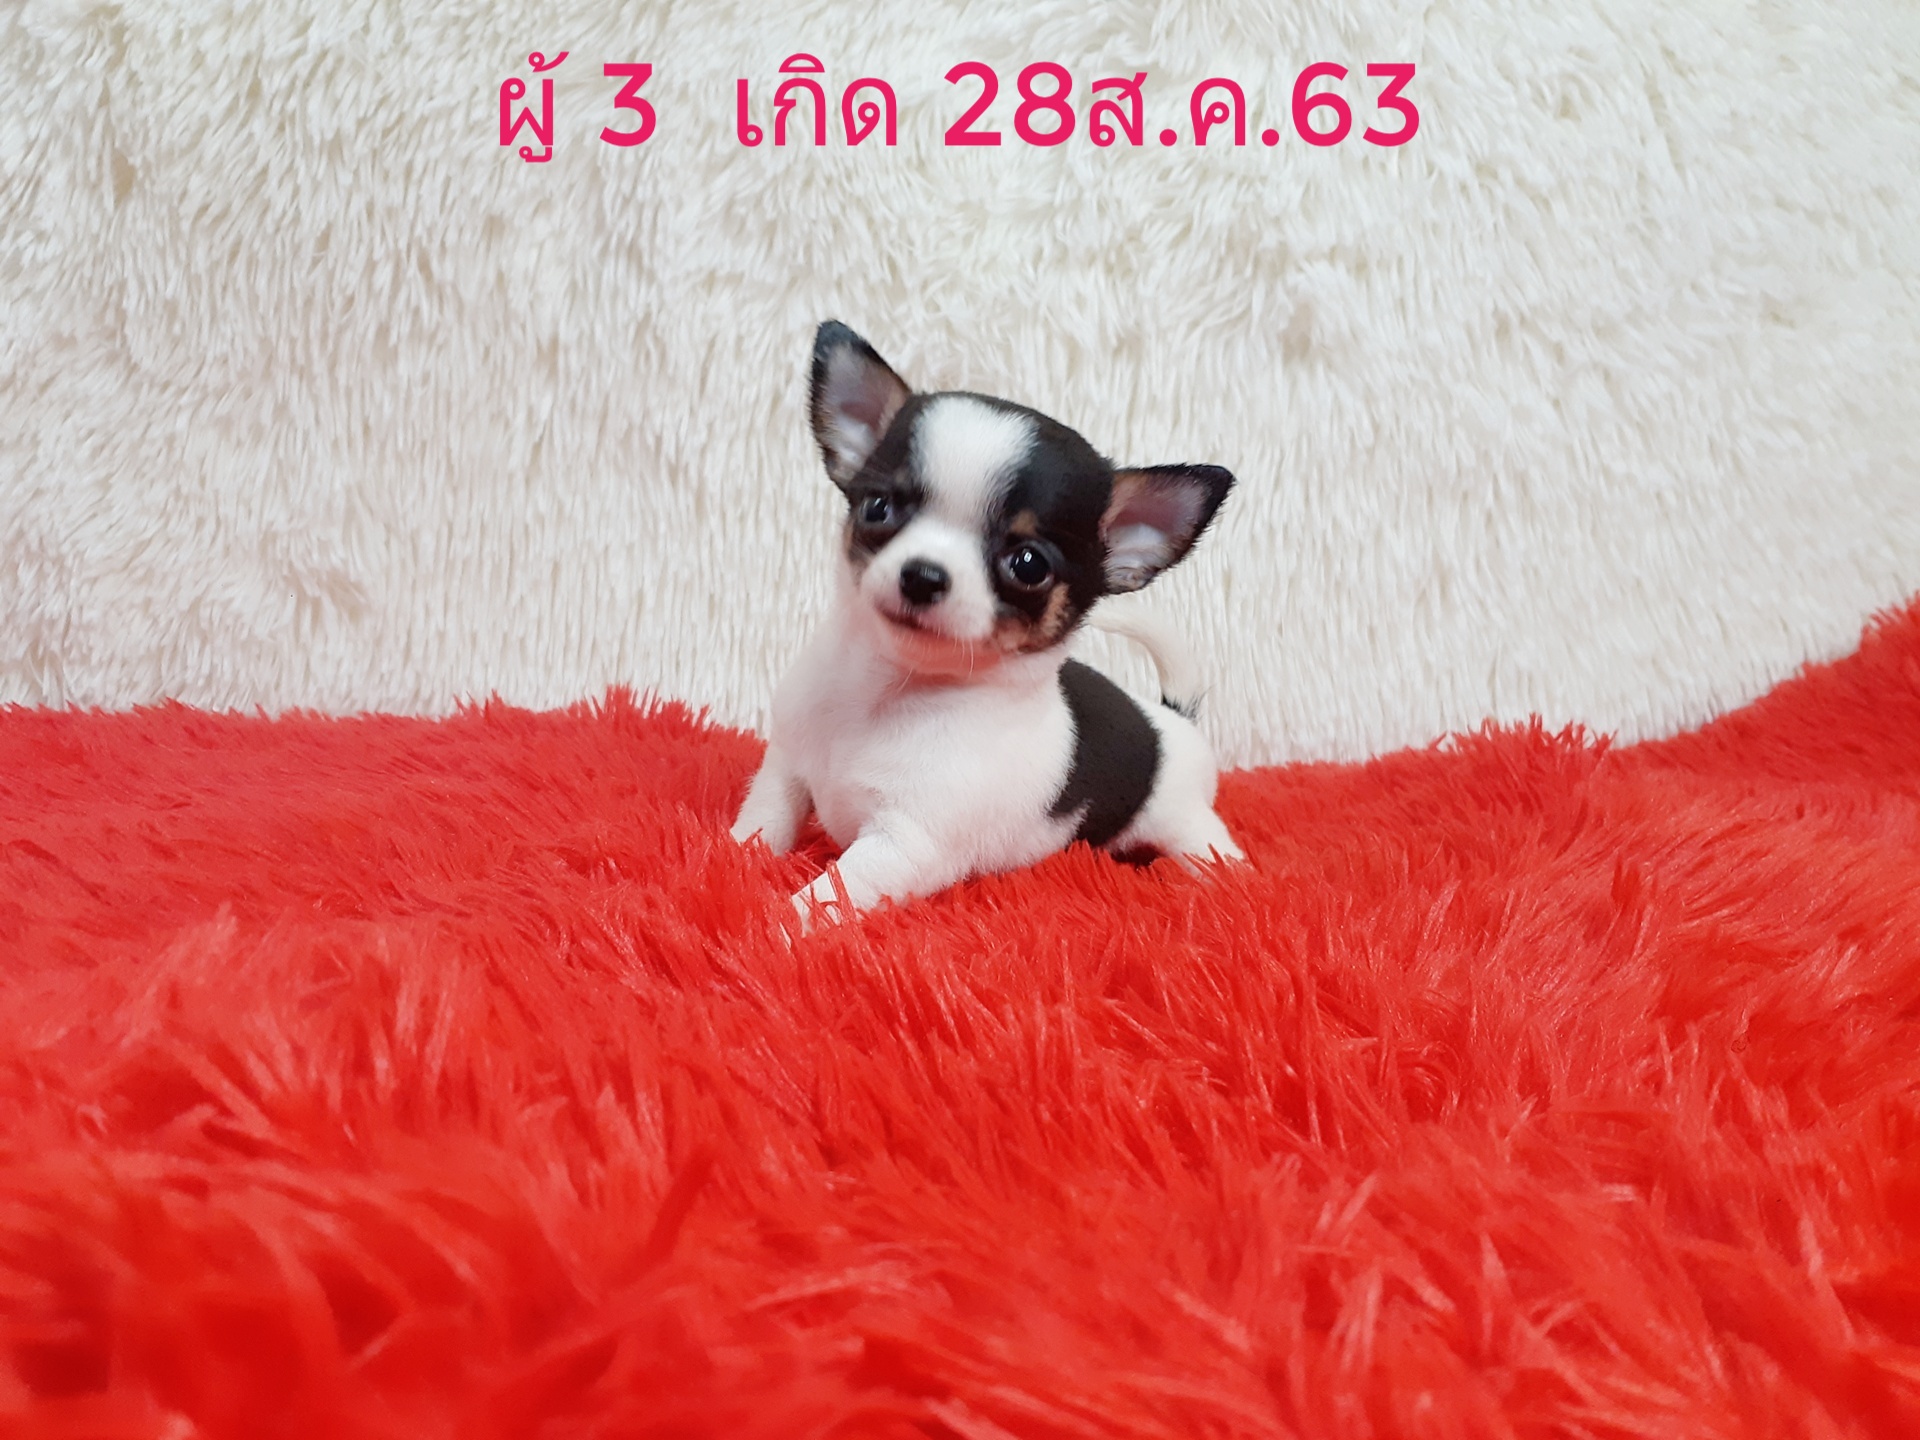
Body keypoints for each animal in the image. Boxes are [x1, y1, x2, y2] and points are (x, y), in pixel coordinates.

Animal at [731, 321, 1243, 923]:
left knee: (1215, 852)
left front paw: (770, 929)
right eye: (877, 508)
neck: (885, 692)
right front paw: (724, 867)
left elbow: (822, 899)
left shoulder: (902, 844)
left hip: (1188, 825)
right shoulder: (785, 771)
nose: (923, 575)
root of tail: (1175, 717)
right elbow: (759, 829)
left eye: (1028, 565)